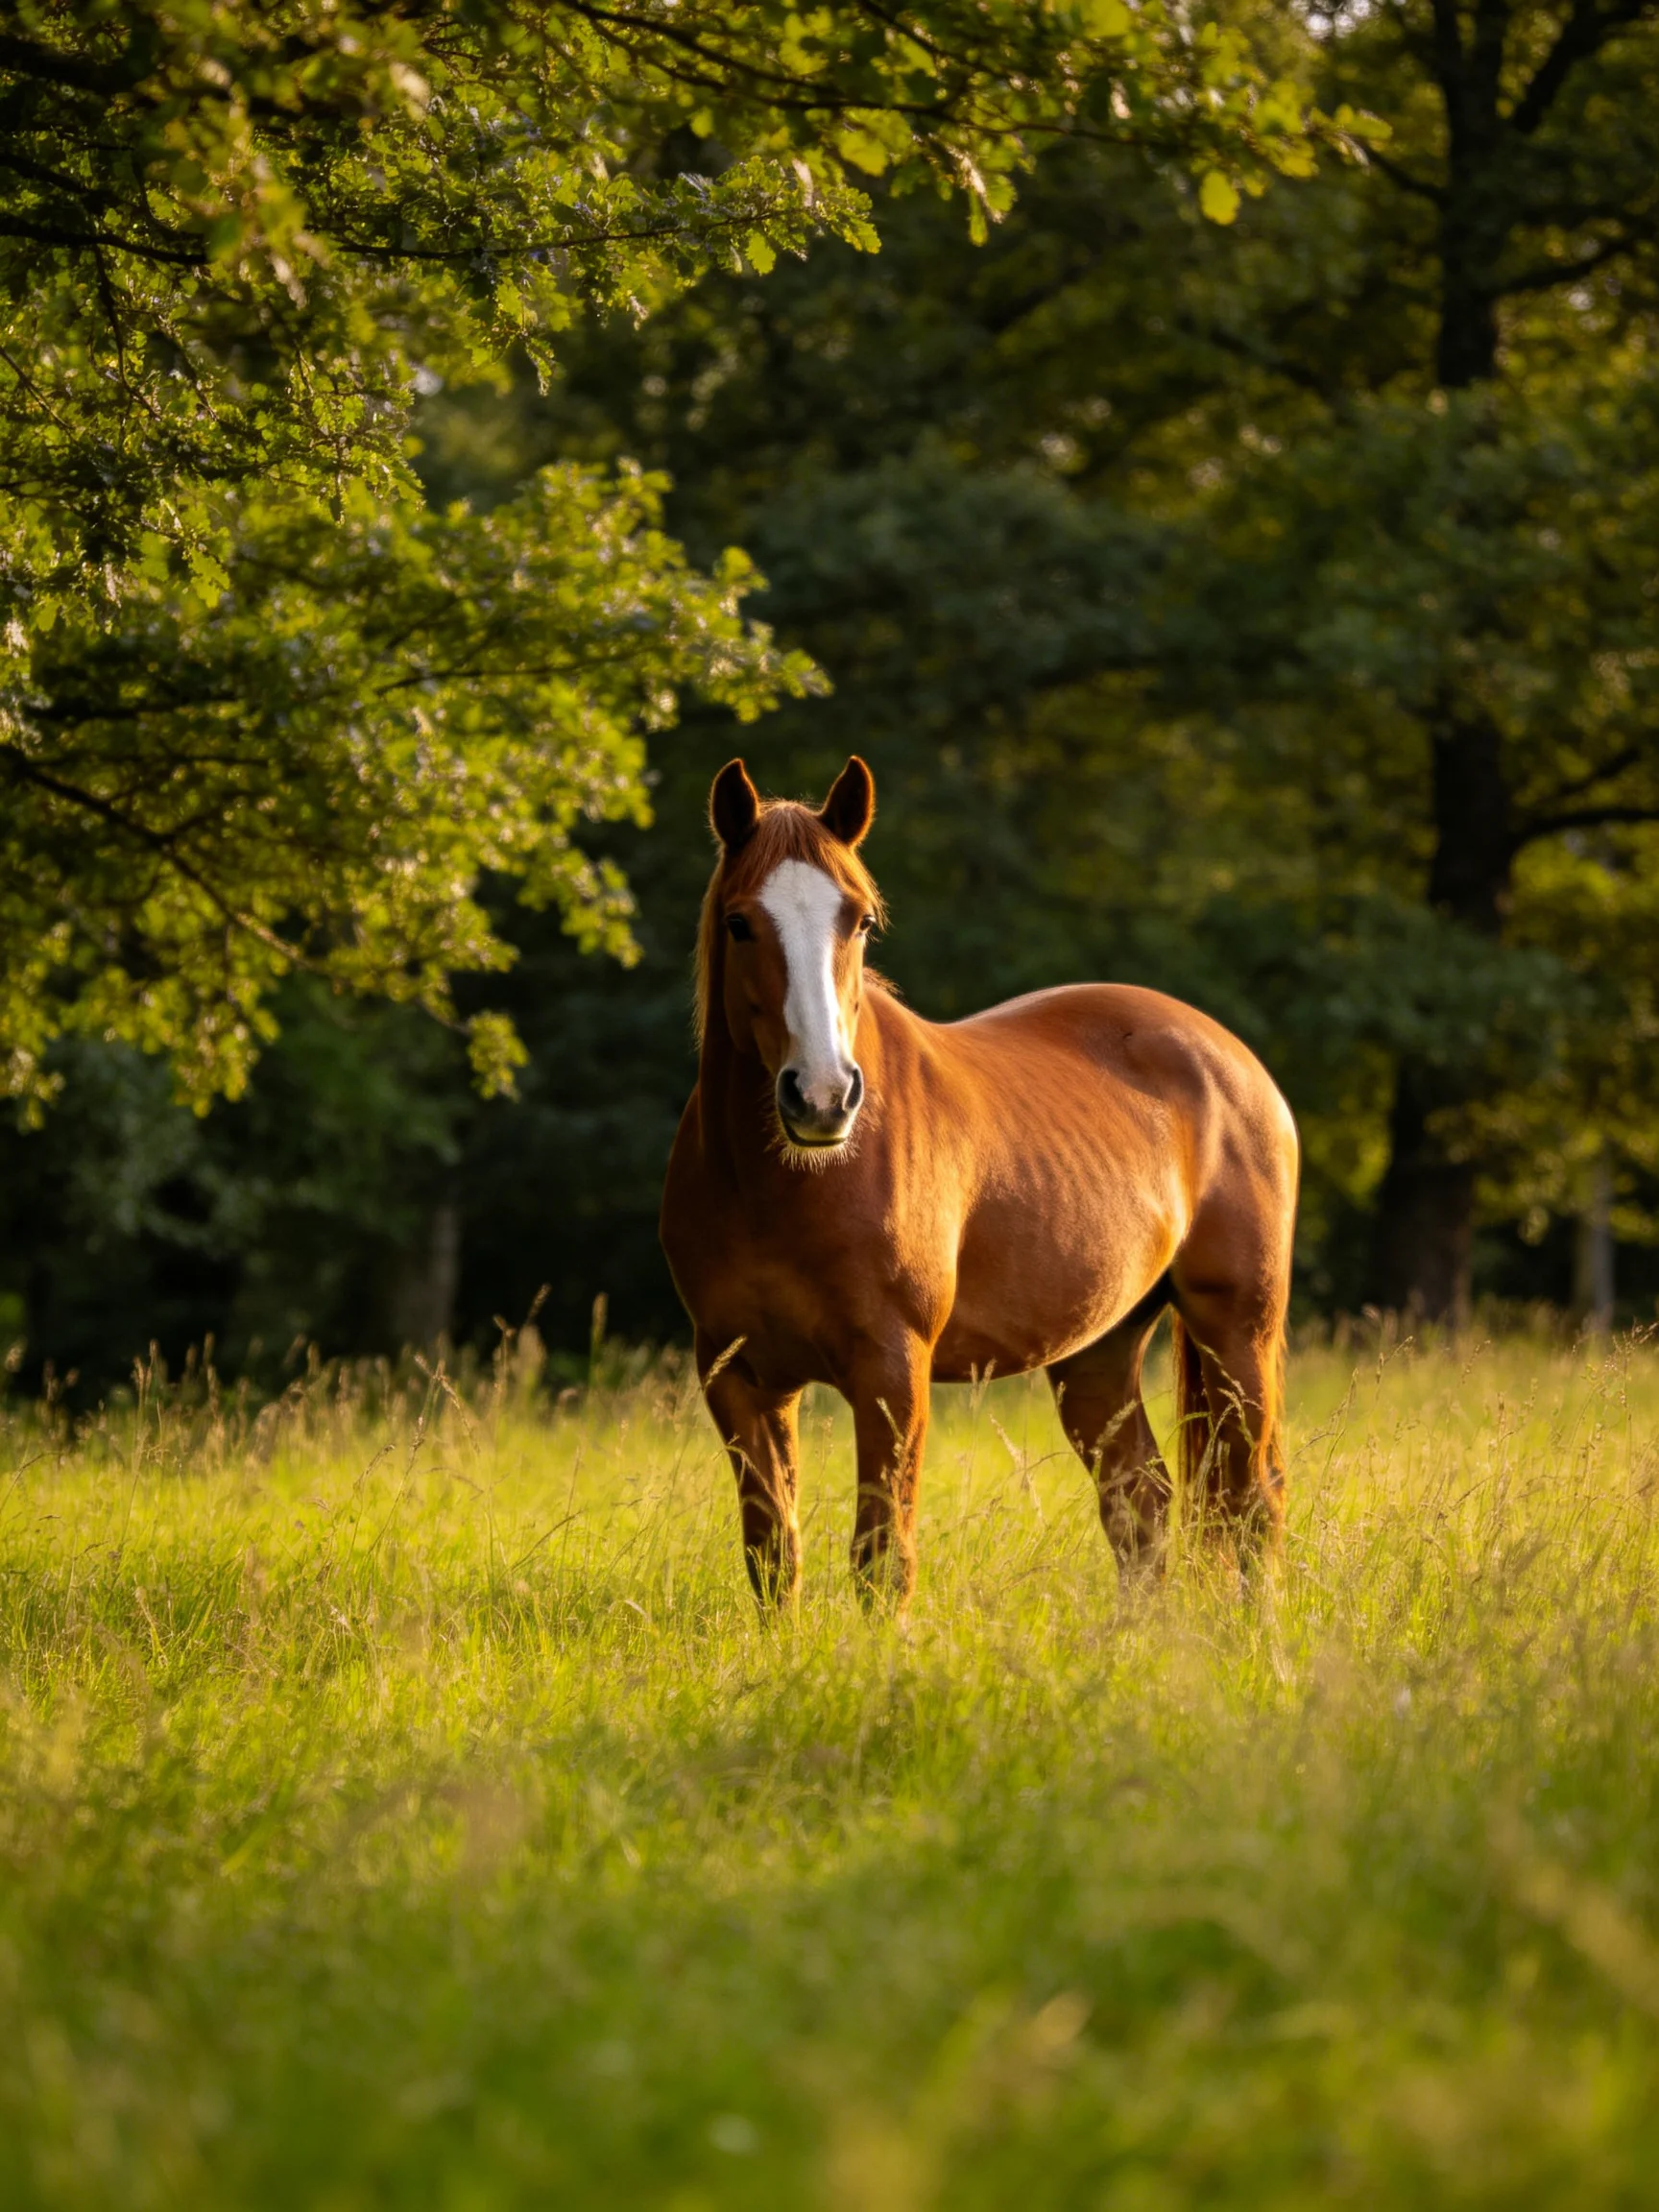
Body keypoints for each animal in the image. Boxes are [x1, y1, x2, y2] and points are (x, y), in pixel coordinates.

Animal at [659, 755, 1300, 1606]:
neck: (783, 1187)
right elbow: (773, 1558)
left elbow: (881, 1559)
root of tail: (1231, 1058)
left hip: (1237, 1333)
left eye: (859, 921)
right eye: (739, 922)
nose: (822, 1096)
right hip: (1098, 1353)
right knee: (1143, 1507)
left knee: (1253, 1502)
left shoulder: (892, 1373)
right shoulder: (740, 1380)